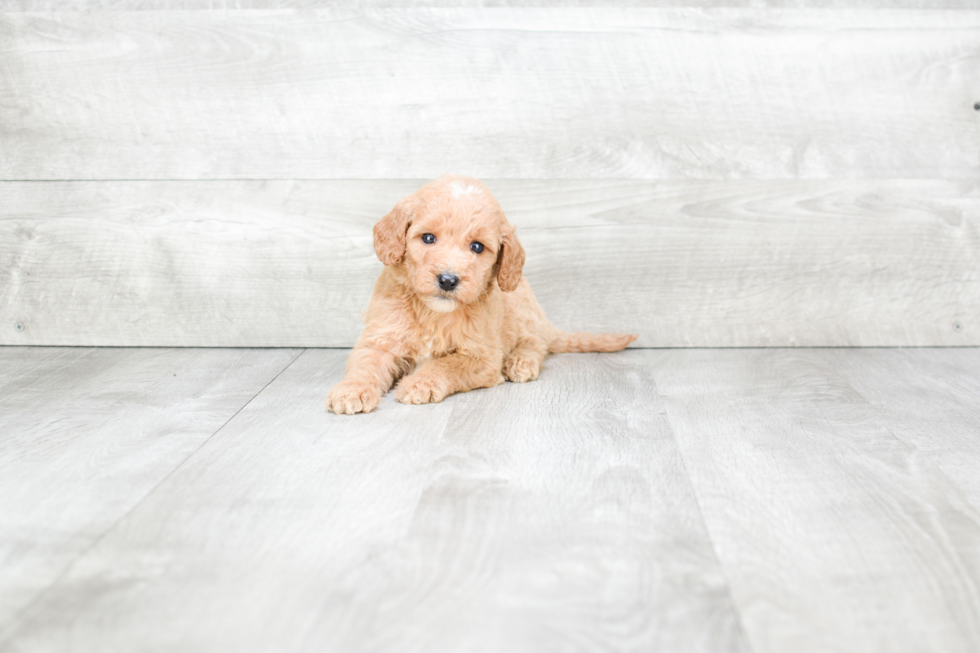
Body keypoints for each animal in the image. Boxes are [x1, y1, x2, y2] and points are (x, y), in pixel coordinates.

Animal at [326, 174, 640, 412]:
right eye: (428, 238)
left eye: (477, 247)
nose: (448, 280)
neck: (432, 313)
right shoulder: (380, 338)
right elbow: (365, 364)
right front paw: (351, 391)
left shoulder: (482, 356)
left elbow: (445, 364)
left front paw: (419, 382)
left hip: (524, 311)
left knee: (536, 342)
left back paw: (521, 362)